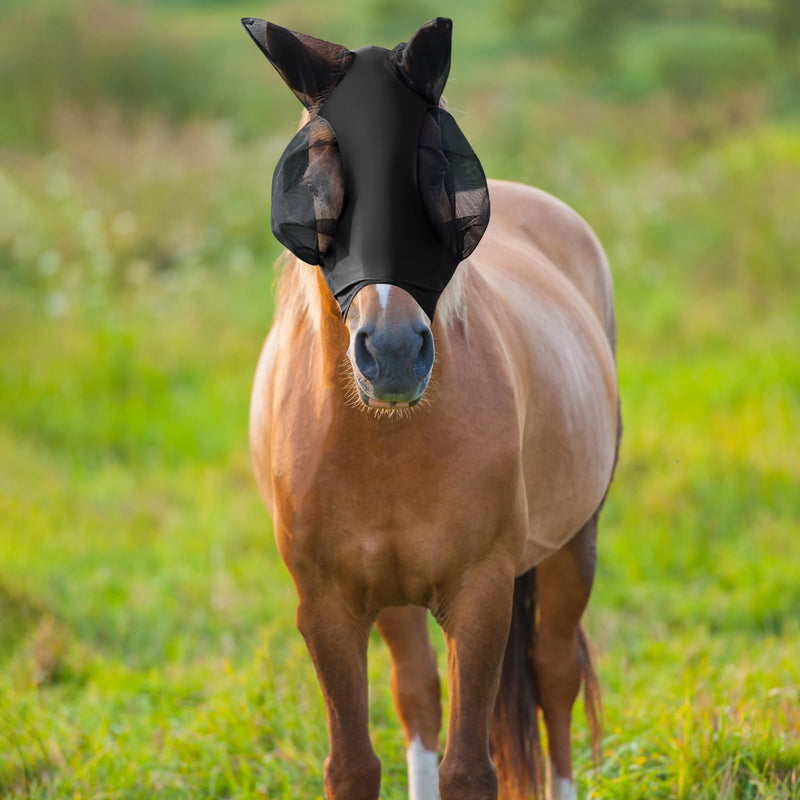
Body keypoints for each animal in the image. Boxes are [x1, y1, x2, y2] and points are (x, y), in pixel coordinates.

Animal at [243, 16, 620, 800]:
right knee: (416, 693)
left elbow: (470, 767)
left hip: (574, 545)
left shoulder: (481, 597)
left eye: (435, 163)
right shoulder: (328, 608)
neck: (385, 441)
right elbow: (355, 764)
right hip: (394, 600)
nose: (391, 351)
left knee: (556, 678)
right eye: (321, 160)